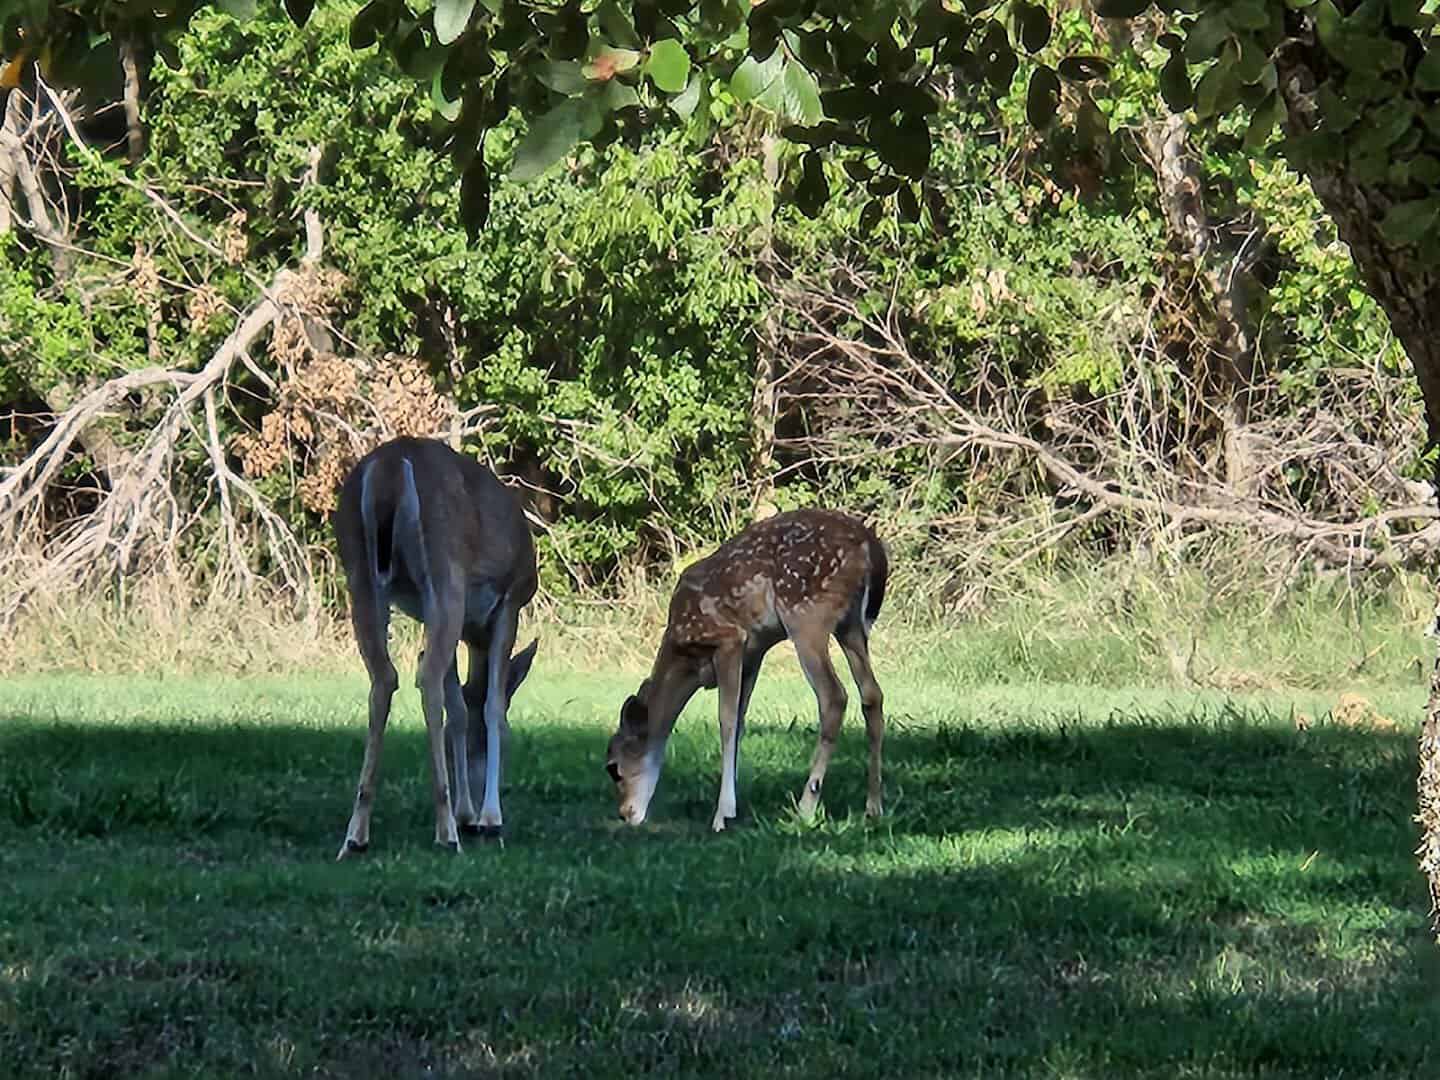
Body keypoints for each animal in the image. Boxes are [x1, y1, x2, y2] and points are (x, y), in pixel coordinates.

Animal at [331, 436, 538, 859]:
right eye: (511, 740)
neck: (476, 635)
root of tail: (391, 464)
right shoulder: (510, 602)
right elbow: (490, 706)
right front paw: (487, 816)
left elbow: (457, 709)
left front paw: (467, 812)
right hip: (446, 570)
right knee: (424, 680)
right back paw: (446, 832)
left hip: (359, 572)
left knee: (384, 679)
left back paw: (356, 833)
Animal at [605, 508, 888, 832]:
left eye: (613, 768)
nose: (625, 814)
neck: (685, 659)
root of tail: (870, 545)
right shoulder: (754, 654)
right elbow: (740, 720)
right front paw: (733, 803)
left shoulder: (728, 638)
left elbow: (726, 721)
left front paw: (721, 814)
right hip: (852, 626)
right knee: (872, 695)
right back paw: (873, 807)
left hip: (806, 614)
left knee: (834, 696)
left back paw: (805, 807)